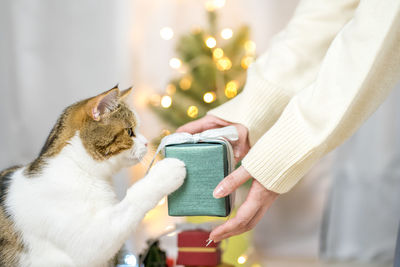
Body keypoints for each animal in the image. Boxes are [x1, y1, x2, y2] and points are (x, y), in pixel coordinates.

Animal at [0, 86, 185, 267]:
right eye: (130, 131)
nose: (146, 142)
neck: (82, 170)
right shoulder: (87, 241)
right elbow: (132, 201)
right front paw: (165, 173)